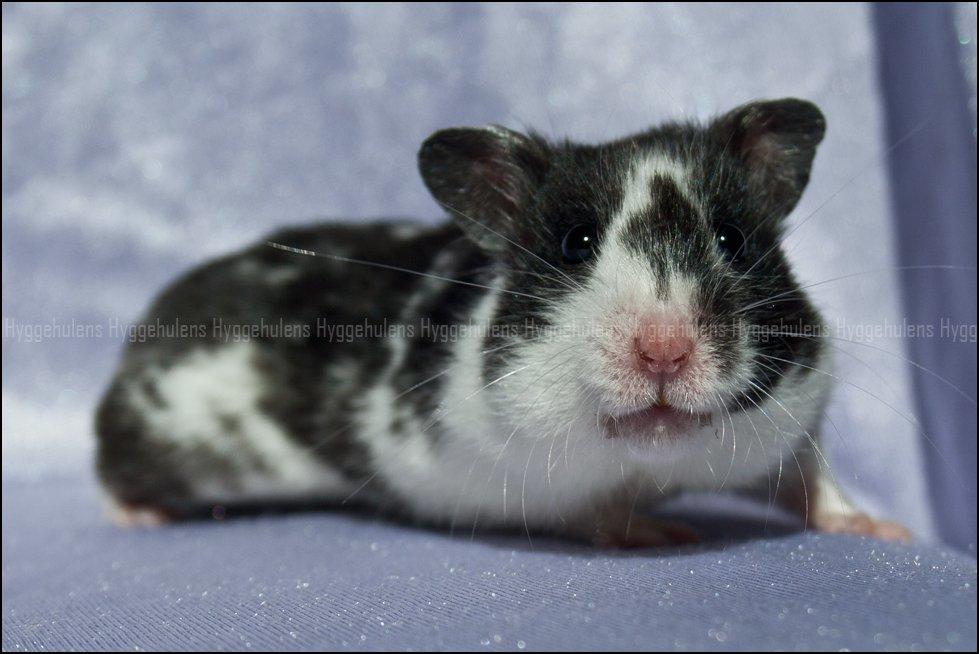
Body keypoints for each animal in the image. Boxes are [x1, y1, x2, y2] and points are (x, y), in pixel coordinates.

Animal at [95, 98, 910, 545]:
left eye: (731, 240)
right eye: (576, 242)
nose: (663, 355)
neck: (649, 458)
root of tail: (148, 325)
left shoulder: (797, 416)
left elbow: (812, 482)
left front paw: (882, 528)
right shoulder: (519, 482)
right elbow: (593, 512)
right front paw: (664, 534)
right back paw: (136, 518)